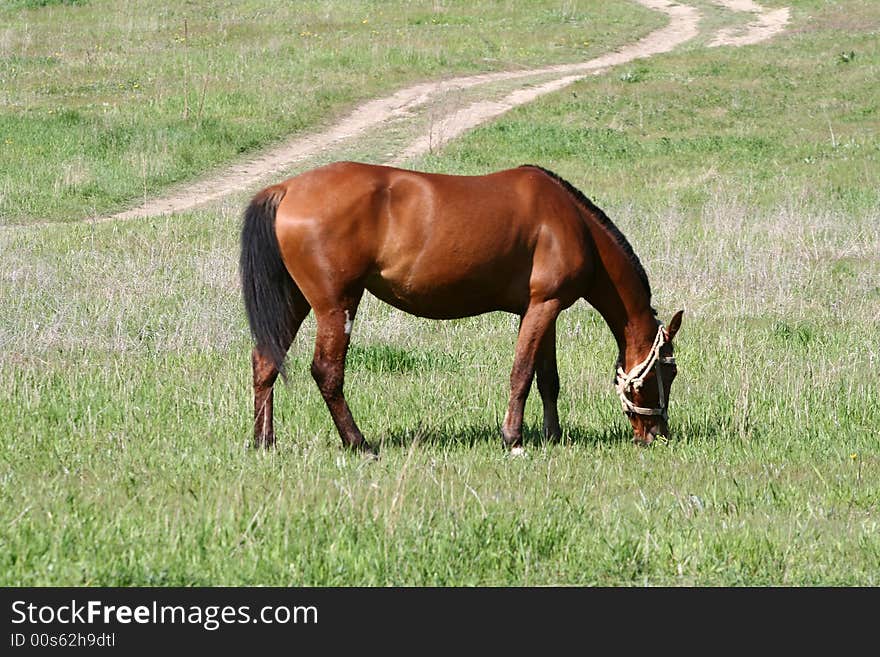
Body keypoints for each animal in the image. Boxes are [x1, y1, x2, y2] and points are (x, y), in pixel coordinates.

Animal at [237, 161, 684, 454]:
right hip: (336, 304)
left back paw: (264, 441)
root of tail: (286, 189)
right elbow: (522, 374)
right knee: (327, 372)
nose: (657, 433)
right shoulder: (543, 307)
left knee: (266, 363)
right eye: (669, 370)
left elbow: (548, 379)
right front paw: (513, 439)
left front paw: (552, 436)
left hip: (296, 301)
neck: (572, 224)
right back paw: (358, 442)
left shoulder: (543, 309)